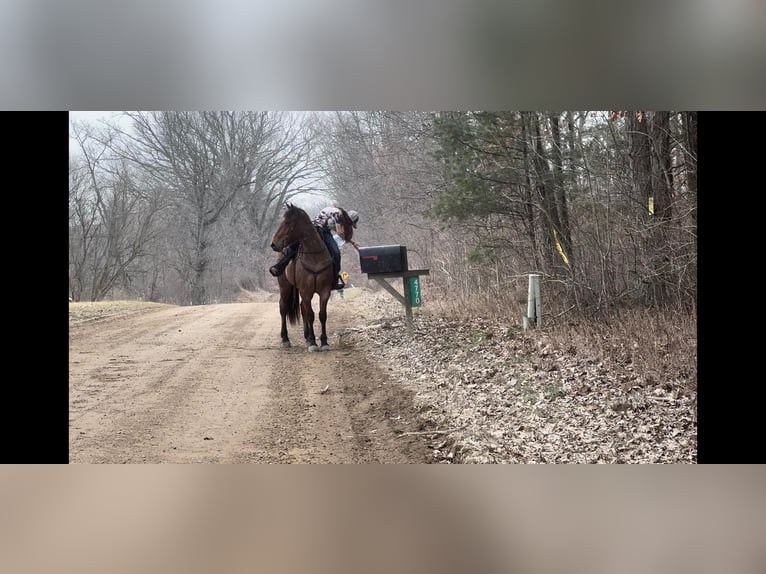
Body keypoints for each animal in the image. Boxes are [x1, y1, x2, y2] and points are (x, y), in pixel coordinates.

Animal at [272, 205, 336, 354]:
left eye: (287, 222)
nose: (273, 244)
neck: (315, 256)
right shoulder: (306, 291)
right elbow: (311, 315)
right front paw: (313, 342)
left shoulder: (324, 292)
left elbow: (322, 315)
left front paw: (324, 342)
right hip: (285, 287)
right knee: (283, 307)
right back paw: (285, 339)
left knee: (302, 308)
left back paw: (306, 337)